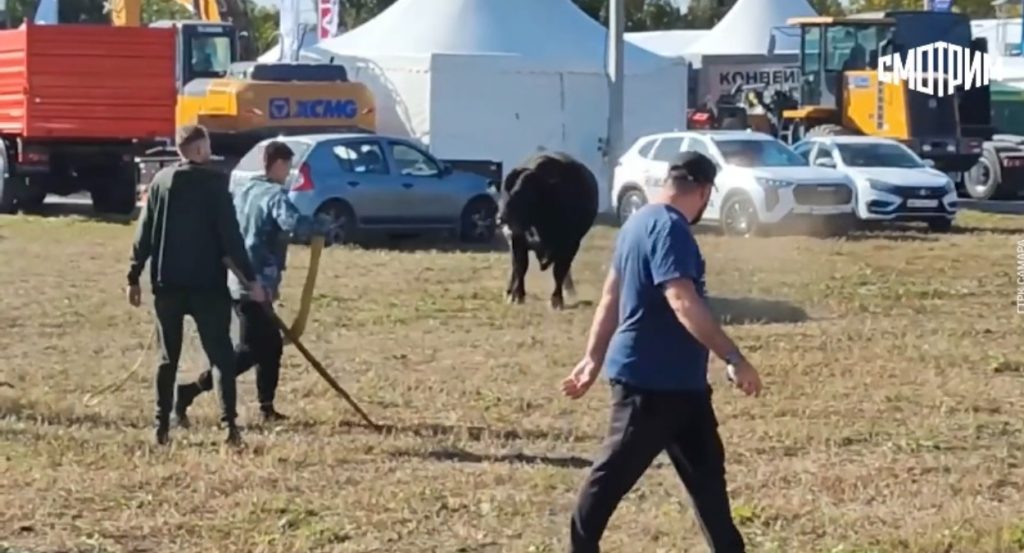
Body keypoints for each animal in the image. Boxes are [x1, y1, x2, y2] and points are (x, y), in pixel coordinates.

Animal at [493, 153, 598, 309]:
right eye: (503, 193)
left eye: (523, 193)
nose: (500, 218)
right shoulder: (517, 239)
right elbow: (521, 267)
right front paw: (517, 295)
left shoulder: (570, 244)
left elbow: (559, 271)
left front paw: (557, 299)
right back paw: (509, 290)